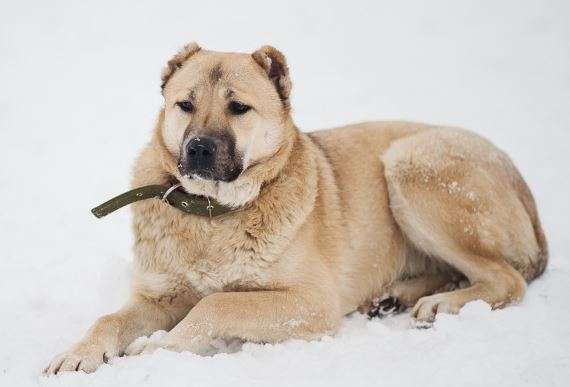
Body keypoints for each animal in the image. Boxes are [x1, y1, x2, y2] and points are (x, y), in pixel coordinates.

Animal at [43, 43, 540, 376]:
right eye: (184, 105)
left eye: (238, 108)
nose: (198, 148)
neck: (212, 213)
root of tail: (519, 178)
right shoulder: (158, 297)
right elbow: (110, 317)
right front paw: (78, 352)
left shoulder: (311, 303)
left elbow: (217, 303)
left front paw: (158, 348)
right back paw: (397, 295)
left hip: (410, 164)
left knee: (506, 279)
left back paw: (440, 303)